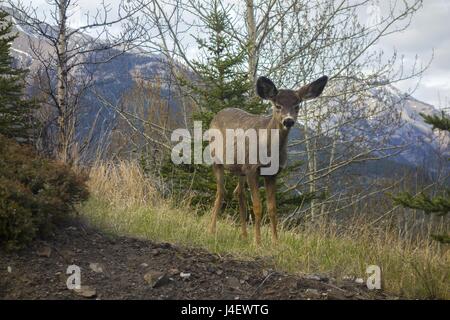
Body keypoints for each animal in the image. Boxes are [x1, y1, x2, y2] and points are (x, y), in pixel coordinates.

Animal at [207, 75, 326, 245]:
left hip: (240, 169)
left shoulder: (272, 173)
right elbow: (257, 206)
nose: (288, 121)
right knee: (221, 191)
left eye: (297, 105)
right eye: (278, 105)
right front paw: (257, 241)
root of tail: (217, 114)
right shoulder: (252, 169)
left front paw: (275, 242)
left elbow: (272, 208)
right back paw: (211, 230)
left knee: (238, 193)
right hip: (216, 160)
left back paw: (244, 235)